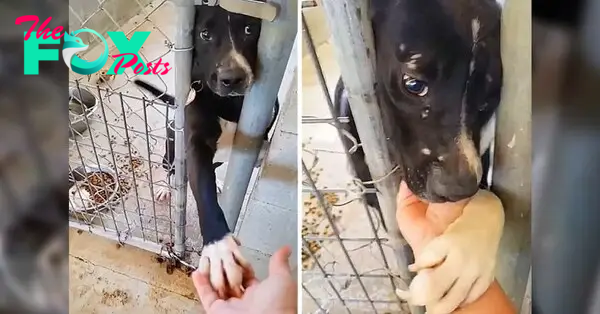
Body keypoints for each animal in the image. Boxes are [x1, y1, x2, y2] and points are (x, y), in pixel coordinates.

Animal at [135, 6, 278, 298]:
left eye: (250, 29)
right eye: (204, 34)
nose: (232, 78)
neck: (228, 104)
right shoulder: (196, 146)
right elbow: (204, 192)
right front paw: (220, 248)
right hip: (171, 151)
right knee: (169, 168)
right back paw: (166, 187)